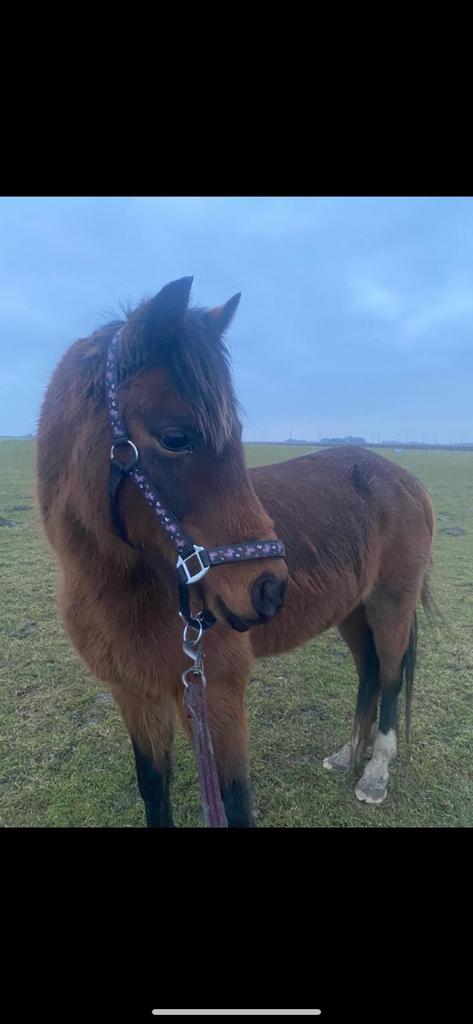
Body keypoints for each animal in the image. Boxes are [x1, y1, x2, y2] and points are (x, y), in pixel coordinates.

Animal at [36, 277, 435, 826]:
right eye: (176, 437)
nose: (270, 589)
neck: (133, 593)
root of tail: (404, 480)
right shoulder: (135, 696)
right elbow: (153, 788)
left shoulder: (217, 698)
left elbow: (235, 802)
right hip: (352, 612)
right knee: (370, 672)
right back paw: (348, 756)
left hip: (390, 607)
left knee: (391, 675)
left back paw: (375, 772)